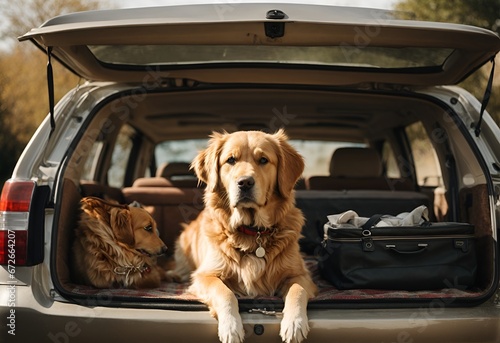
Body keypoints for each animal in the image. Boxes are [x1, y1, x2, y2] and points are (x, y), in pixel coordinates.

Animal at [168, 131, 316, 343]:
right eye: (231, 160)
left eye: (263, 160)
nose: (245, 182)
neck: (253, 231)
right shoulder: (205, 275)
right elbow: (224, 292)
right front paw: (231, 326)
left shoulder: (300, 275)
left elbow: (297, 291)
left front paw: (294, 323)